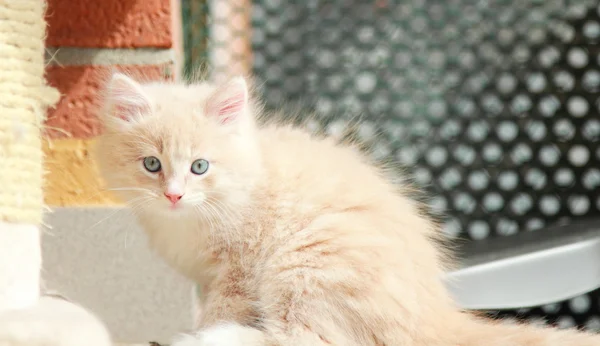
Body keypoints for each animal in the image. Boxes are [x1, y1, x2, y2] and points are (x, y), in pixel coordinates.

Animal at [92, 71, 600, 344]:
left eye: (200, 166)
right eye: (152, 165)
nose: (173, 194)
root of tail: (439, 316)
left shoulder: (239, 266)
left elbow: (223, 306)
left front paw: (204, 329)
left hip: (308, 262)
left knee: (309, 338)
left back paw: (221, 339)